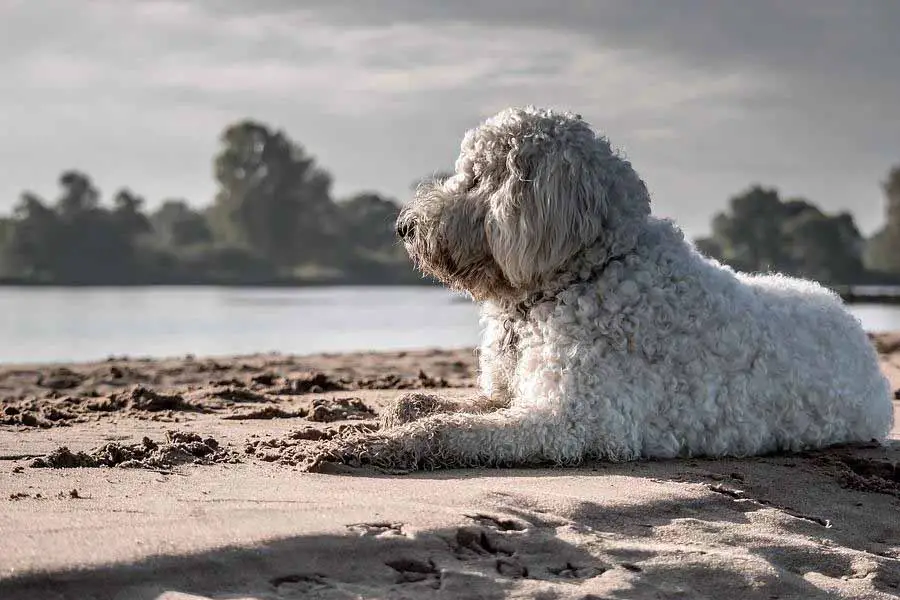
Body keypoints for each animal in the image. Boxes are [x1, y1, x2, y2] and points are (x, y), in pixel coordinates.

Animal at [310, 106, 892, 474]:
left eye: (477, 178)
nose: (404, 226)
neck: (582, 274)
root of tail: (848, 317)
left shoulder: (570, 421)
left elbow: (450, 431)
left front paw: (371, 443)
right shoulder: (512, 393)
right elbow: (444, 406)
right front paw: (398, 408)